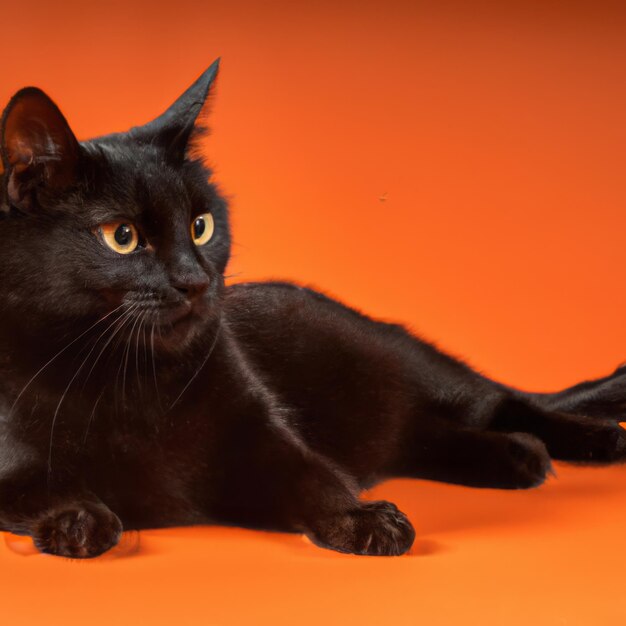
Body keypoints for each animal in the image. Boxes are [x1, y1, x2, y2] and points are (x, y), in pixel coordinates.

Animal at [0, 58, 620, 556]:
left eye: (201, 226)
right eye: (122, 237)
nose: (195, 280)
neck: (129, 378)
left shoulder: (258, 432)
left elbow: (312, 475)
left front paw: (363, 519)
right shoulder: (11, 460)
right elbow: (37, 484)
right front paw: (76, 520)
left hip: (418, 369)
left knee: (501, 400)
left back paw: (595, 439)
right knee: (425, 435)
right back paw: (521, 456)